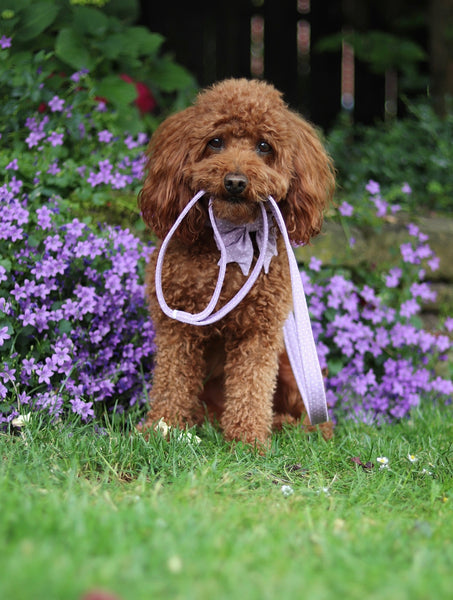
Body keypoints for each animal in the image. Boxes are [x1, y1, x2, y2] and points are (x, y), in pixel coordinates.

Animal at [139, 78, 334, 446]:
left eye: (263, 146)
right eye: (215, 142)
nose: (235, 182)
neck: (230, 242)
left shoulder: (260, 330)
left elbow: (251, 385)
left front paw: (248, 438)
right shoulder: (177, 325)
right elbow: (172, 379)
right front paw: (163, 426)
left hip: (292, 370)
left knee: (313, 420)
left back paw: (292, 428)